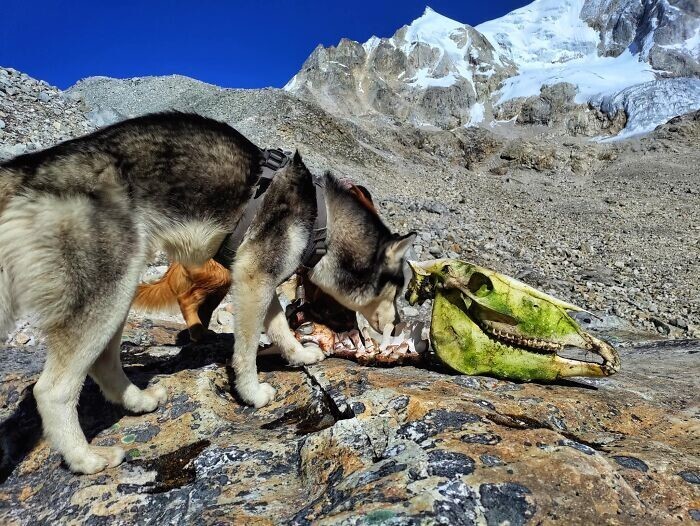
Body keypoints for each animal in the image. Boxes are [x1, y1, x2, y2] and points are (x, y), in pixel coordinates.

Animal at [0, 113, 416, 476]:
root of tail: (28, 167)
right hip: (107, 289)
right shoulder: (252, 277)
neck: (321, 219)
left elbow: (279, 325)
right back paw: (85, 458)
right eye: (399, 287)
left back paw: (137, 401)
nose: (399, 325)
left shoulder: (261, 277)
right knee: (52, 390)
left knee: (102, 360)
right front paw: (251, 393)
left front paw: (298, 355)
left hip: (120, 288)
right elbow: (246, 347)